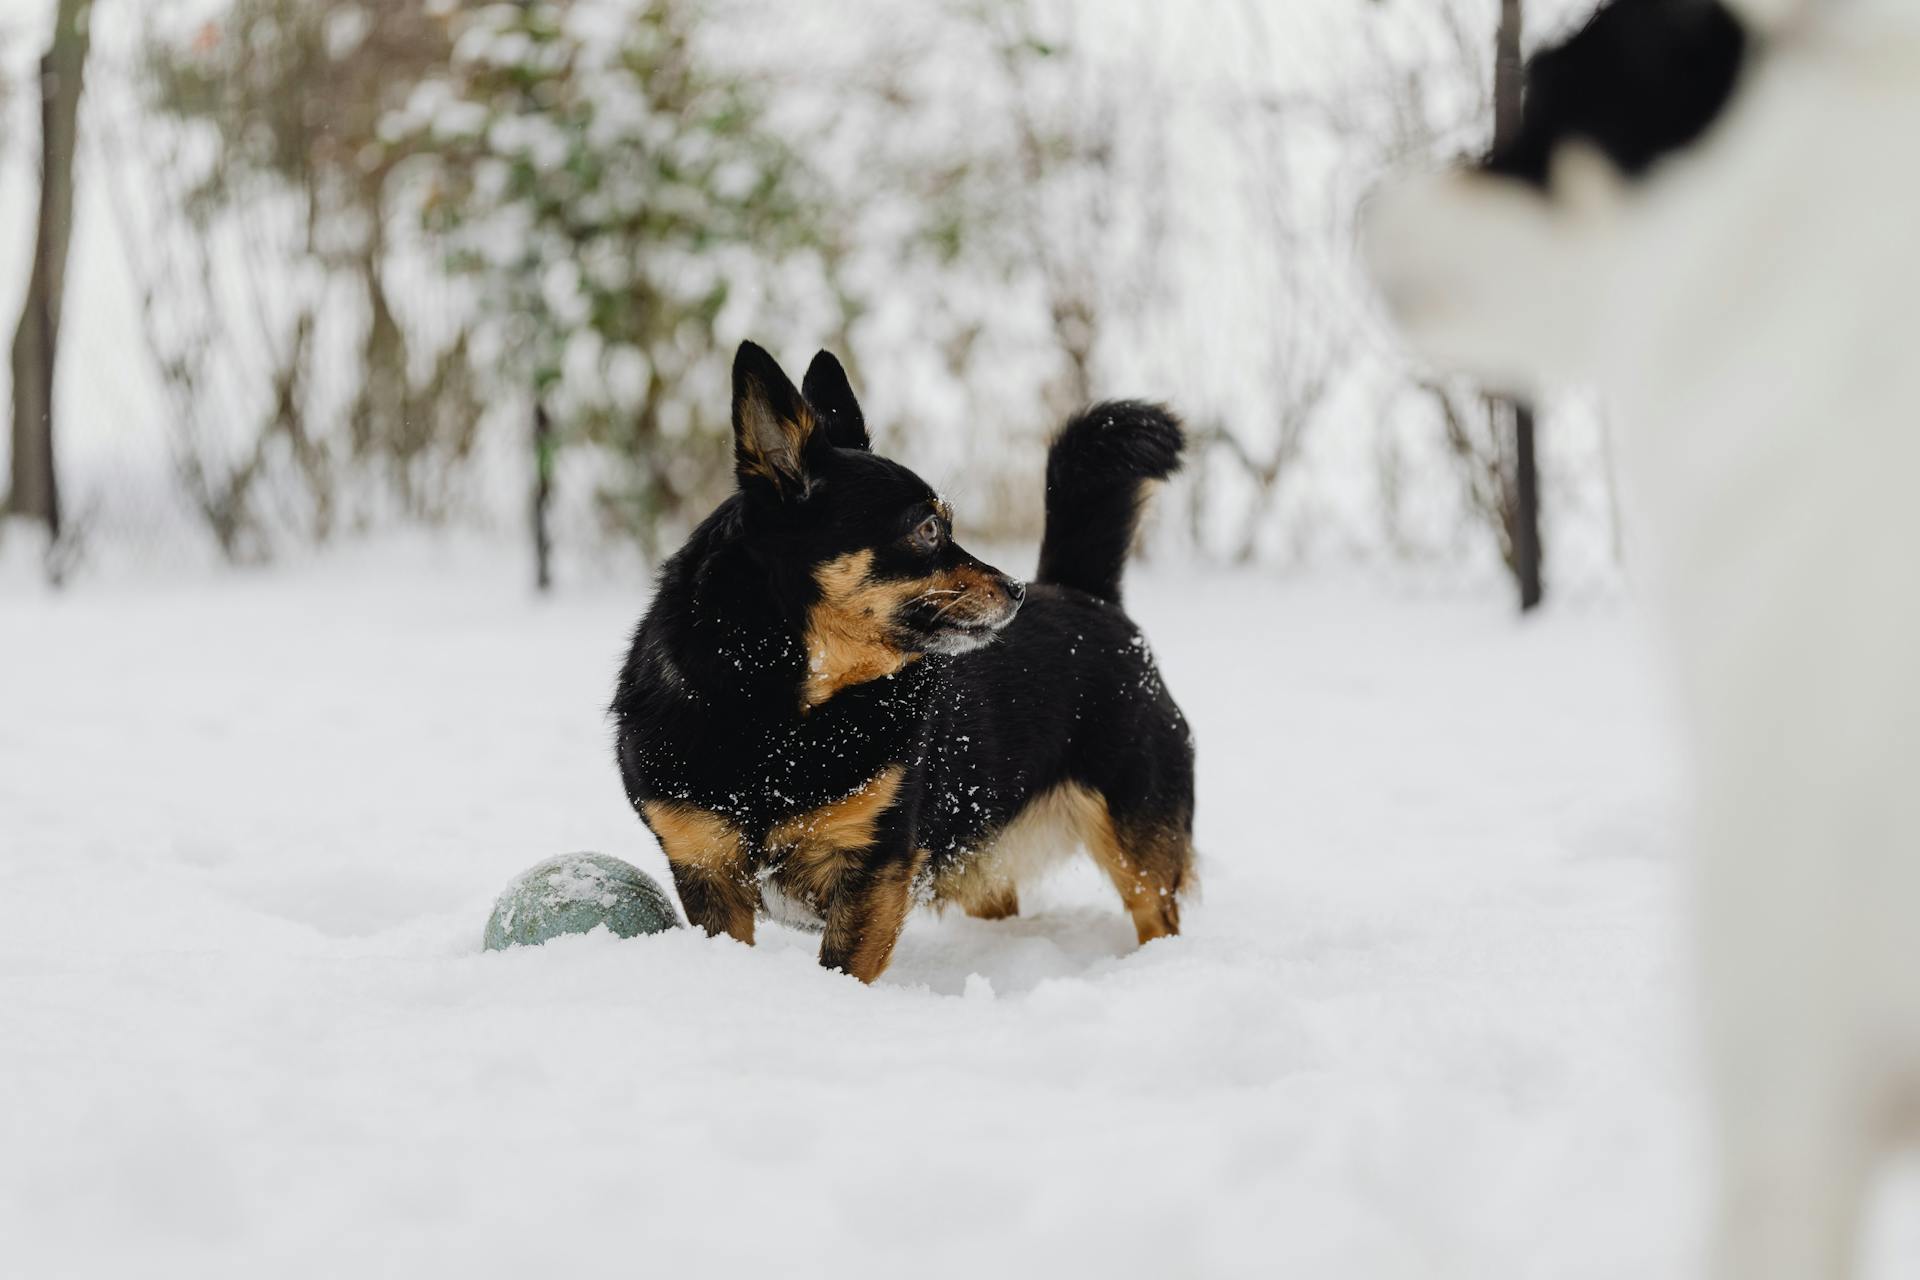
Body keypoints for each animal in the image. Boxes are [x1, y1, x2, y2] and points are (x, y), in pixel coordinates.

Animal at [614, 339, 1190, 982]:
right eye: (929, 528)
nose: (1016, 589)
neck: (779, 712)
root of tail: (1085, 592)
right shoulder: (705, 870)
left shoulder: (872, 870)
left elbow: (841, 968)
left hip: (1137, 839)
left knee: (1157, 914)